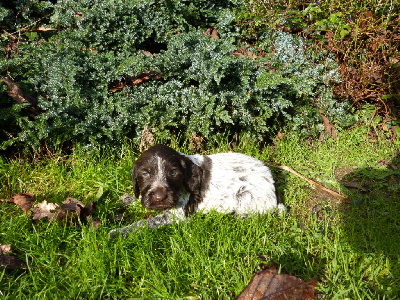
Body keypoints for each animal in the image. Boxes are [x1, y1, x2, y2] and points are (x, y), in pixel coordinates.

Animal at [108, 144, 284, 238]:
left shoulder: (176, 214)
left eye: (173, 173)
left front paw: (118, 233)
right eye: (145, 173)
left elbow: (144, 223)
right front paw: (127, 199)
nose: (159, 197)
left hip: (246, 194)